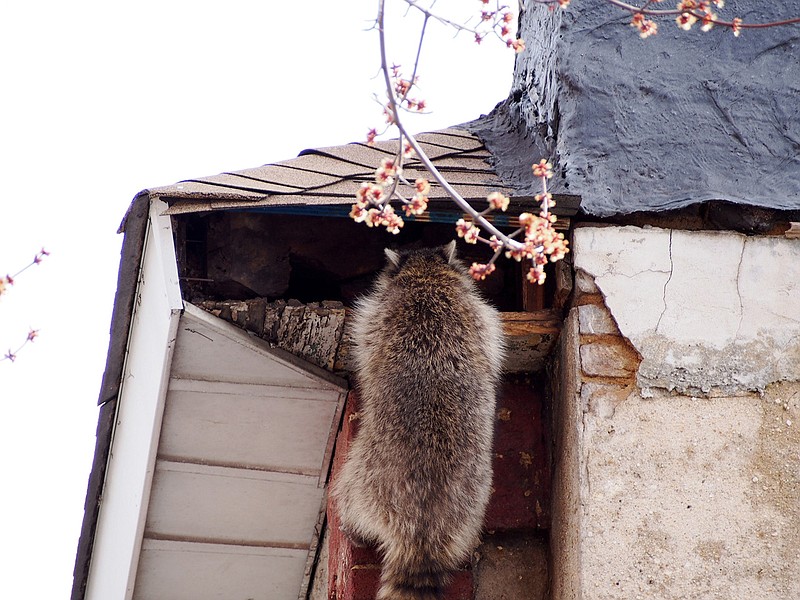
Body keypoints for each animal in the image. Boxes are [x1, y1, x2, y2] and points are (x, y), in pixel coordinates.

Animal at [332, 241, 506, 600]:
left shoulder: (380, 318)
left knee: (349, 495)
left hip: (364, 477)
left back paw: (351, 526)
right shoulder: (477, 320)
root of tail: (421, 533)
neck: (426, 275)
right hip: (471, 504)